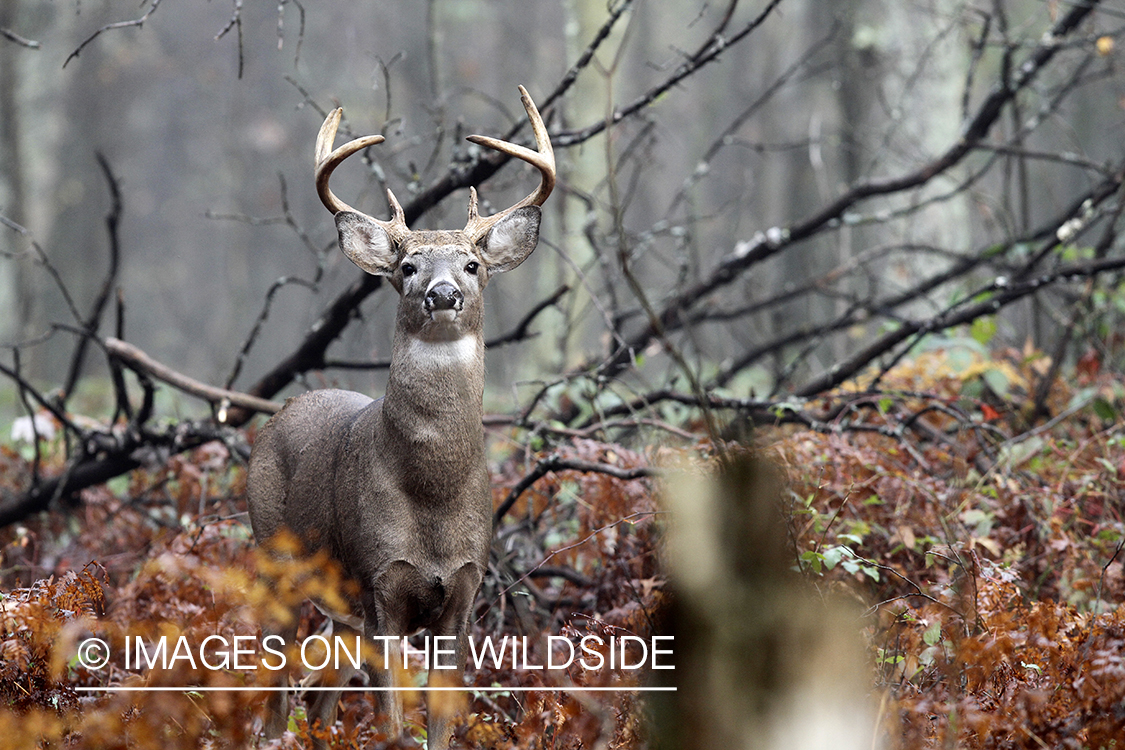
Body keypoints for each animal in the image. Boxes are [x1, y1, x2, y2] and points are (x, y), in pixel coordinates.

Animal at [250, 89, 558, 750]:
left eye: (472, 265)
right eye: (409, 266)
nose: (443, 294)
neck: (431, 493)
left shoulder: (464, 590)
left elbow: (438, 724)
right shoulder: (378, 579)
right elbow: (392, 723)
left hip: (334, 608)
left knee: (321, 699)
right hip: (276, 560)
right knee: (272, 695)